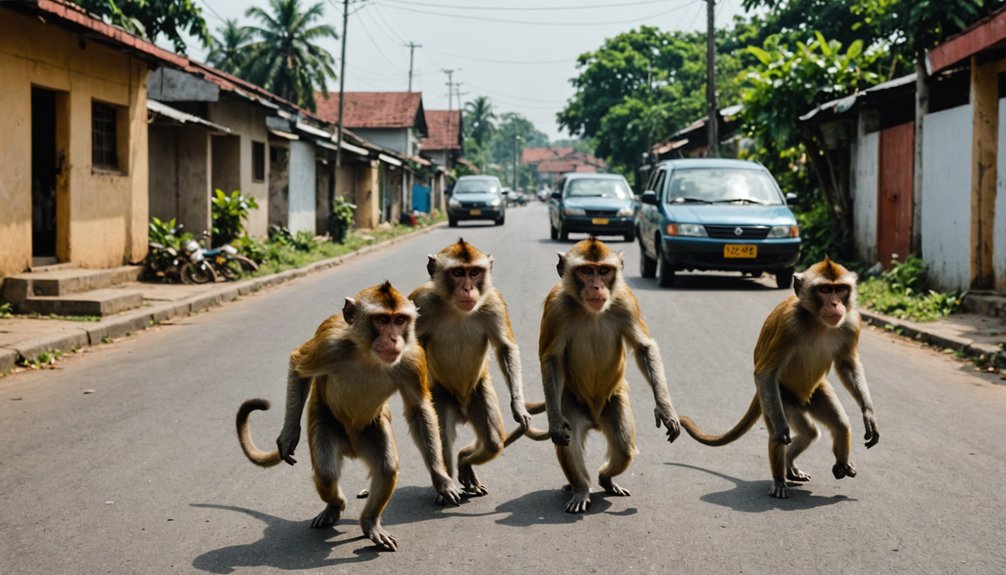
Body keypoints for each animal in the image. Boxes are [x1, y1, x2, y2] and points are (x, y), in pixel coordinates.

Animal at [235, 281, 460, 550]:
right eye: (382, 320)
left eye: (400, 320)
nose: (393, 338)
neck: (367, 354)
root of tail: (352, 447)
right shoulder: (329, 345)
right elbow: (298, 365)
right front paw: (289, 435)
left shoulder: (411, 358)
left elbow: (418, 408)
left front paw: (441, 478)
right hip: (324, 419)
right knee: (326, 472)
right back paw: (335, 505)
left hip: (373, 427)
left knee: (386, 468)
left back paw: (370, 522)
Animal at [410, 238, 551, 494]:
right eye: (458, 273)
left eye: (474, 272)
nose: (468, 289)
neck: (456, 308)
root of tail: (462, 410)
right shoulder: (420, 302)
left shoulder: (494, 302)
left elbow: (505, 347)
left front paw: (519, 406)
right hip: (442, 395)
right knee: (442, 438)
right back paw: (448, 480)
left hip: (479, 392)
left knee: (492, 441)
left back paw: (465, 462)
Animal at [539, 236, 680, 514]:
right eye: (586, 271)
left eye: (604, 270)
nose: (596, 286)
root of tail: (594, 419)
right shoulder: (556, 307)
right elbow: (551, 359)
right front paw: (555, 423)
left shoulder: (626, 300)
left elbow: (644, 348)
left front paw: (665, 409)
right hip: (571, 401)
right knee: (570, 443)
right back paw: (581, 488)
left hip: (613, 401)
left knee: (624, 446)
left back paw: (606, 479)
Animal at [676, 257, 881, 498]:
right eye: (824, 289)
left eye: (840, 289)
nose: (834, 304)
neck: (817, 322)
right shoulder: (788, 326)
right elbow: (766, 372)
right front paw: (782, 434)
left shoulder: (851, 322)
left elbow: (848, 364)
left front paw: (868, 414)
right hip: (775, 397)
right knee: (779, 429)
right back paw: (780, 478)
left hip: (814, 392)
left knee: (828, 428)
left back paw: (826, 465)